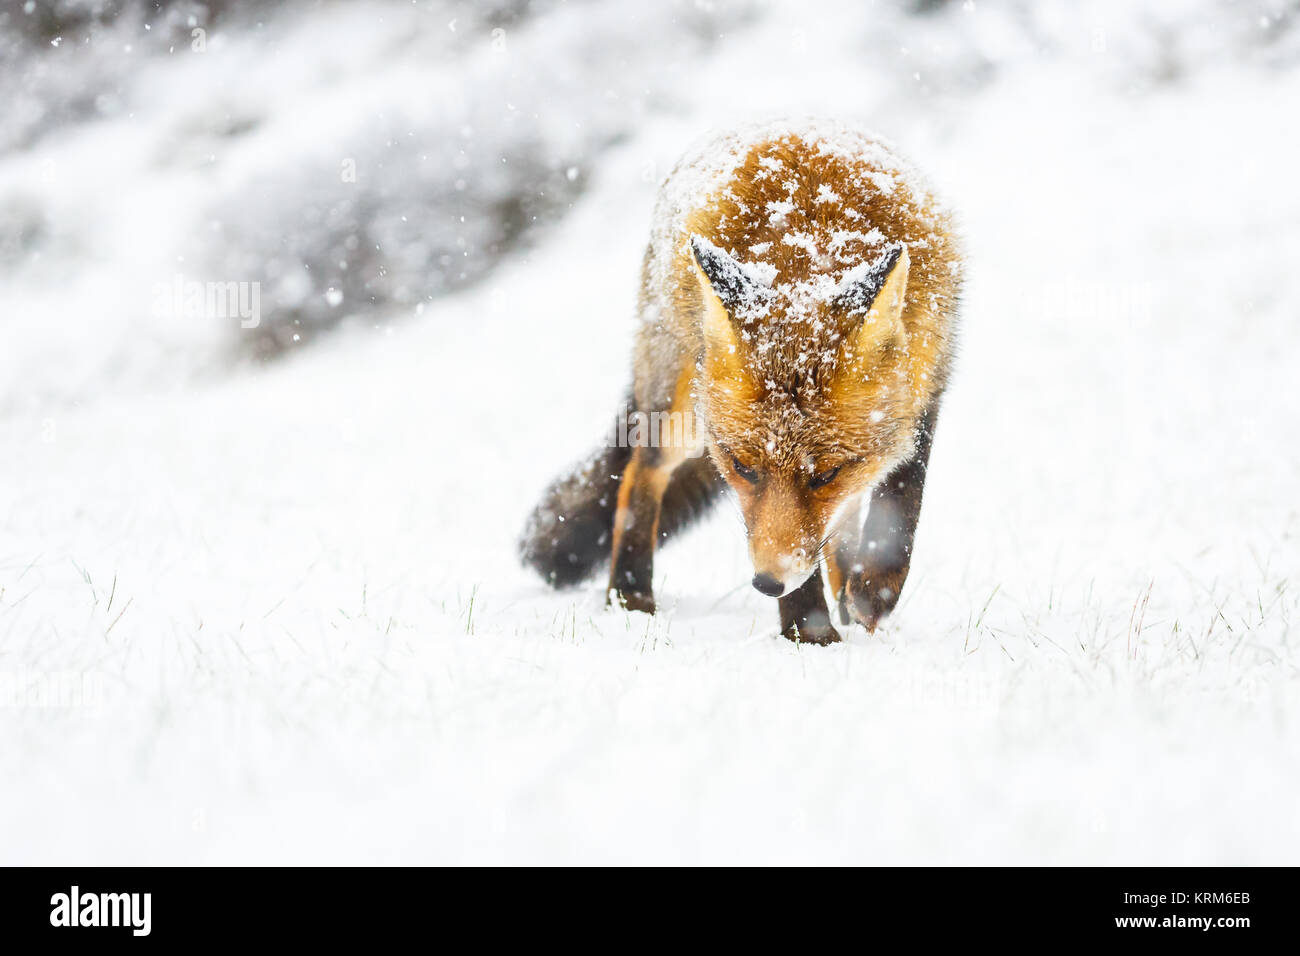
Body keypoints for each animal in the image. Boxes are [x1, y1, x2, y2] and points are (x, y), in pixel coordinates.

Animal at [522, 117, 961, 642]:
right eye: (743, 468)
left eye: (827, 474)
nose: (767, 583)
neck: (812, 241)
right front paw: (810, 633)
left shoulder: (927, 384)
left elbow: (903, 498)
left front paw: (873, 590)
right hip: (679, 413)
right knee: (637, 475)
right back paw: (629, 595)